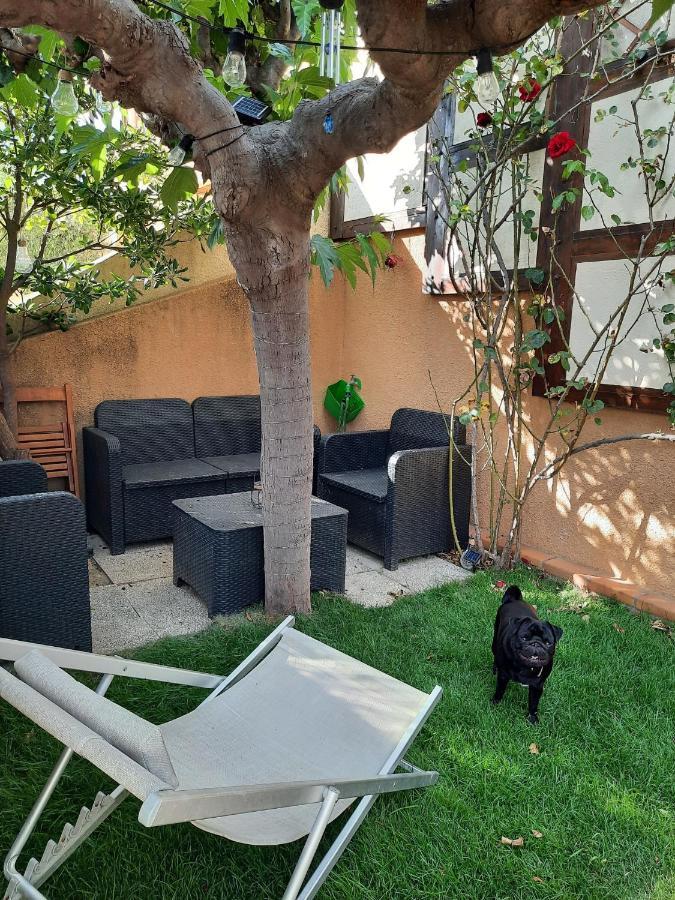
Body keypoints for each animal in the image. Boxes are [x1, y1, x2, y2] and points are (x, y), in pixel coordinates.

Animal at [492, 584, 564, 724]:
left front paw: (532, 718)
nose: (536, 643)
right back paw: (494, 668)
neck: (525, 667)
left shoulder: (537, 686)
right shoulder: (503, 676)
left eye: (548, 643)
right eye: (524, 638)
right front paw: (495, 702)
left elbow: (533, 703)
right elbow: (500, 690)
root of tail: (514, 599)